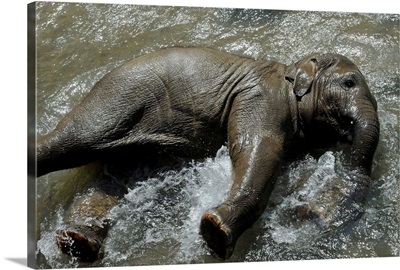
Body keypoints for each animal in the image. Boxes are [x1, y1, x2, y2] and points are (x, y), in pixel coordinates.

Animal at [36, 47, 380, 262]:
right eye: (349, 82)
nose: (312, 212)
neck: (290, 71)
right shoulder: (262, 96)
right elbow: (256, 146)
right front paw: (215, 232)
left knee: (110, 182)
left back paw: (77, 244)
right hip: (117, 99)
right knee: (73, 141)